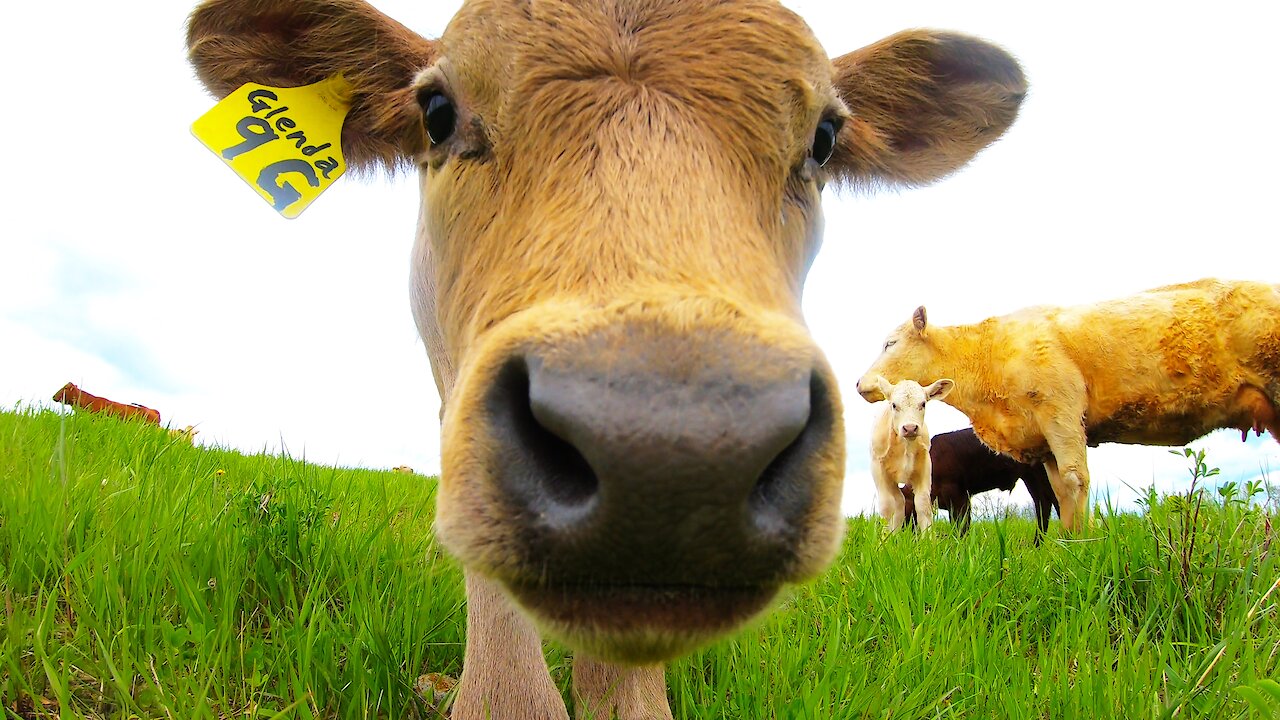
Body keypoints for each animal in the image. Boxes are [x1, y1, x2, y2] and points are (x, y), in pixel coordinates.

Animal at [865, 371, 957, 530]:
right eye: (894, 405)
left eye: (923, 404)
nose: (910, 428)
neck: (905, 445)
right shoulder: (878, 469)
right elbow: (887, 507)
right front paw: (885, 537)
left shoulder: (924, 467)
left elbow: (923, 504)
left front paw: (928, 536)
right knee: (896, 503)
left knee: (900, 503)